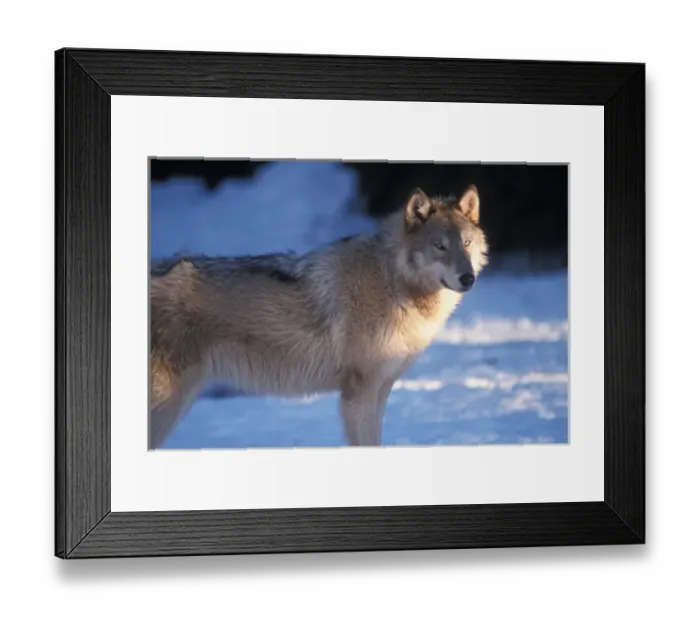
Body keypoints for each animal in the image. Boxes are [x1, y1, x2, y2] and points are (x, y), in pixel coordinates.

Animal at [149, 185, 488, 449]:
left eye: (466, 244)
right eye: (439, 246)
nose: (468, 278)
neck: (392, 282)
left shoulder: (380, 391)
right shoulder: (358, 396)